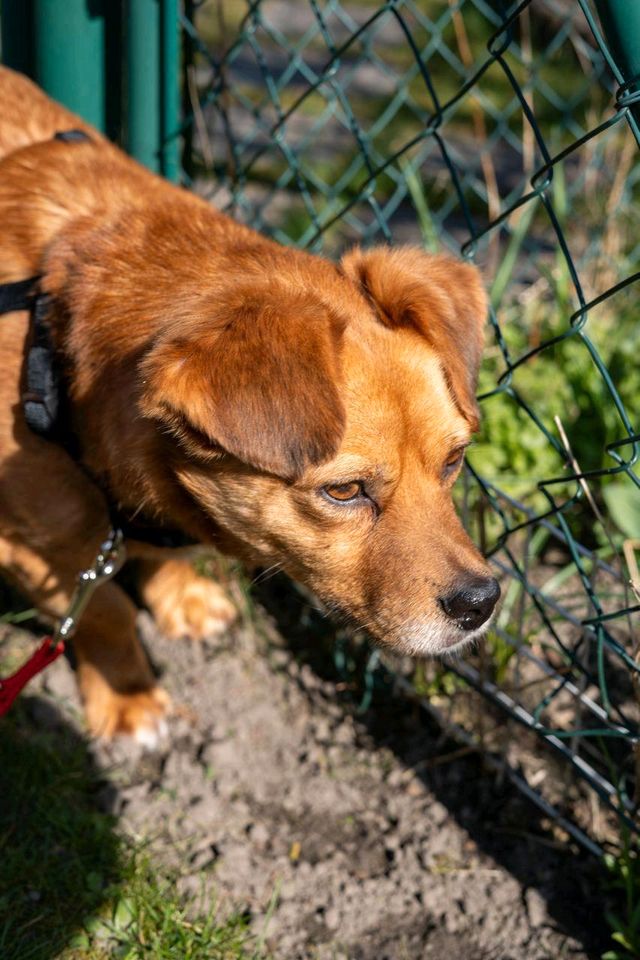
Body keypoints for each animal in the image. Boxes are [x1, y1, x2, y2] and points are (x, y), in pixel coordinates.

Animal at [0, 67, 500, 744]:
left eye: (454, 461)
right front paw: (129, 697)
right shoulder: (30, 547)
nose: (481, 603)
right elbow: (104, 609)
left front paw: (179, 597)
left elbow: (150, 562)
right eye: (344, 492)